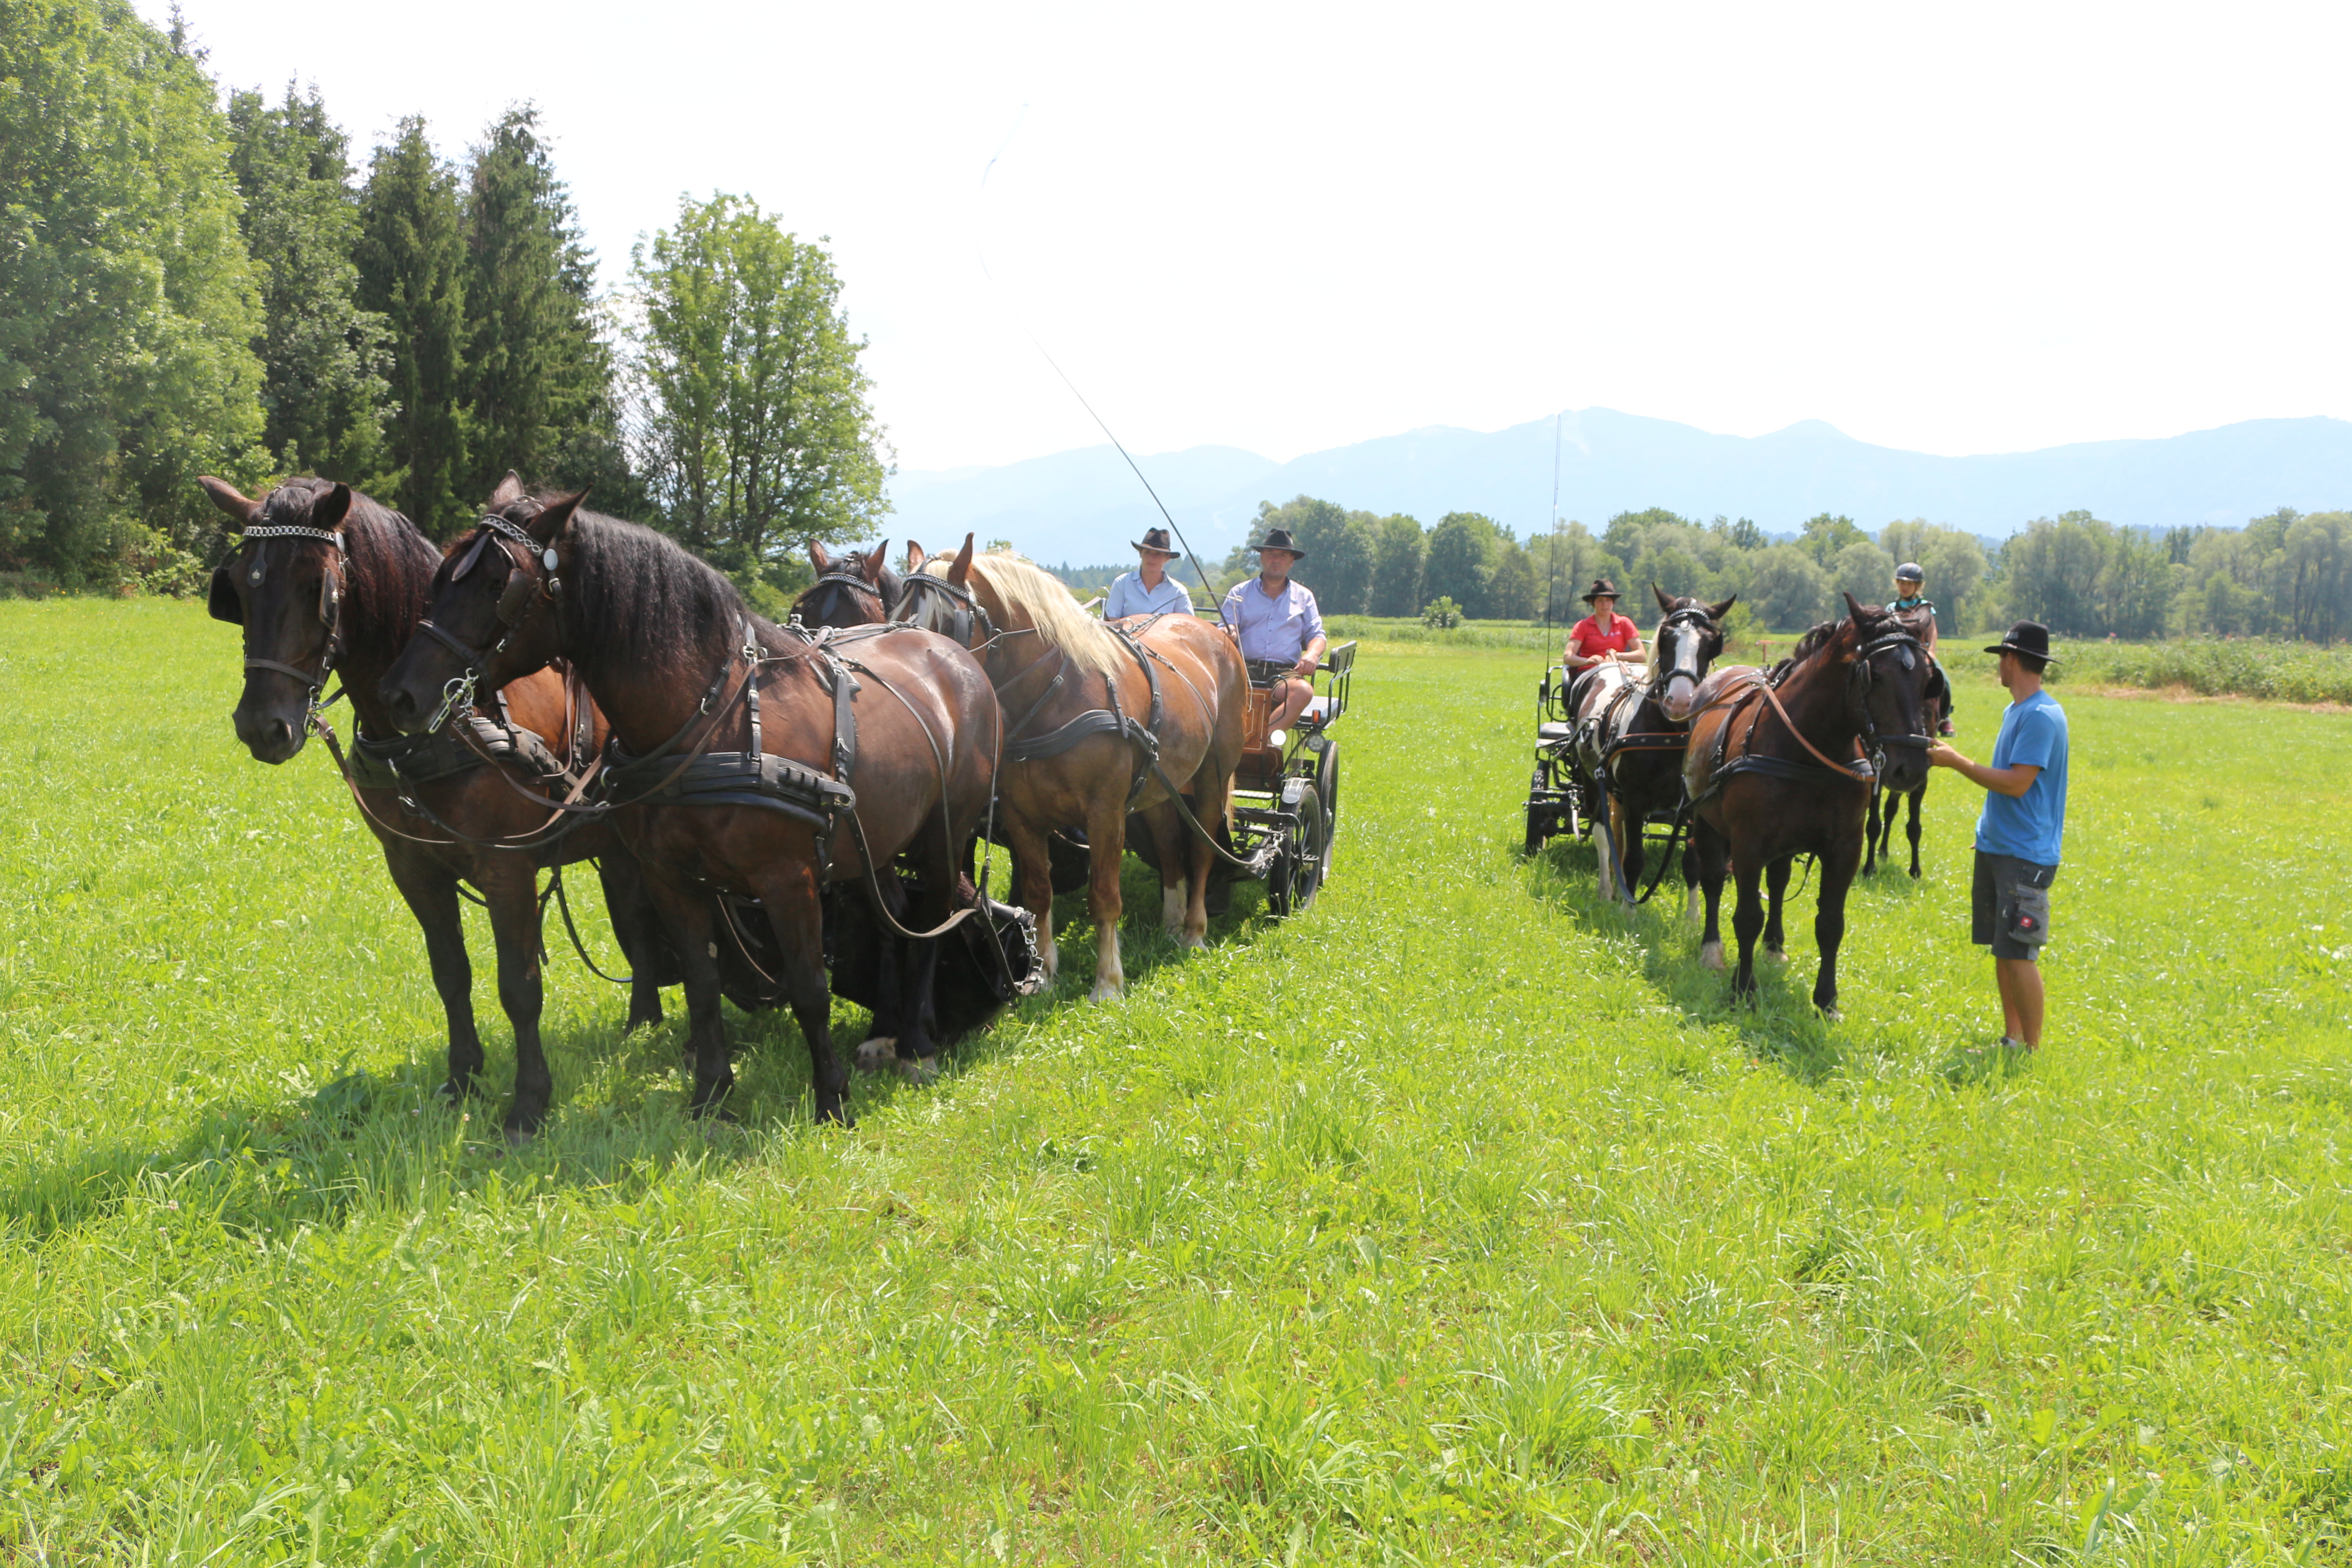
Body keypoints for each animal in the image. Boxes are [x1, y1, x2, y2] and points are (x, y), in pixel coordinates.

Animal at [196, 470, 677, 1142]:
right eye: (238, 587)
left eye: (318, 588)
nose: (262, 727)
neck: (450, 722)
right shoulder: (414, 869)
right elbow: (452, 974)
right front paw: (461, 1080)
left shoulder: (507, 871)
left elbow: (519, 987)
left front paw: (529, 1103)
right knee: (634, 920)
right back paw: (642, 1024)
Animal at [378, 496, 1002, 1123]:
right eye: (439, 578)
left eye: (497, 585)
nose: (402, 694)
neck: (712, 724)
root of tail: (954, 655)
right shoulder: (670, 878)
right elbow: (702, 984)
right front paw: (711, 1094)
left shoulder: (787, 879)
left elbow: (809, 988)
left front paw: (831, 1098)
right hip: (876, 842)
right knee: (893, 917)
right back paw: (886, 1031)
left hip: (945, 836)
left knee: (933, 922)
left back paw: (917, 1044)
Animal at [1693, 594, 1928, 1011]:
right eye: (1875, 676)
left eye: (1926, 680)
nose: (1911, 768)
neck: (1809, 749)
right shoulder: (1748, 843)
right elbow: (1747, 916)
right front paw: (1744, 988)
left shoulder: (1845, 848)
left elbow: (1831, 924)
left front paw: (1827, 1000)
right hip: (1705, 820)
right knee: (1713, 880)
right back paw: (1712, 950)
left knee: (1779, 880)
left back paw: (1775, 945)